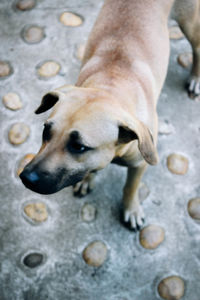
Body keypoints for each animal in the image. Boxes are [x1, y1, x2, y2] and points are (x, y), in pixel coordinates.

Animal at [19, 0, 200, 230]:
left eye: (79, 147)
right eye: (45, 132)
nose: (26, 178)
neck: (110, 85)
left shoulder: (140, 163)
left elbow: (131, 187)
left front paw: (131, 209)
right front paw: (88, 179)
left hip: (191, 25)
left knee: (197, 49)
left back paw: (195, 78)